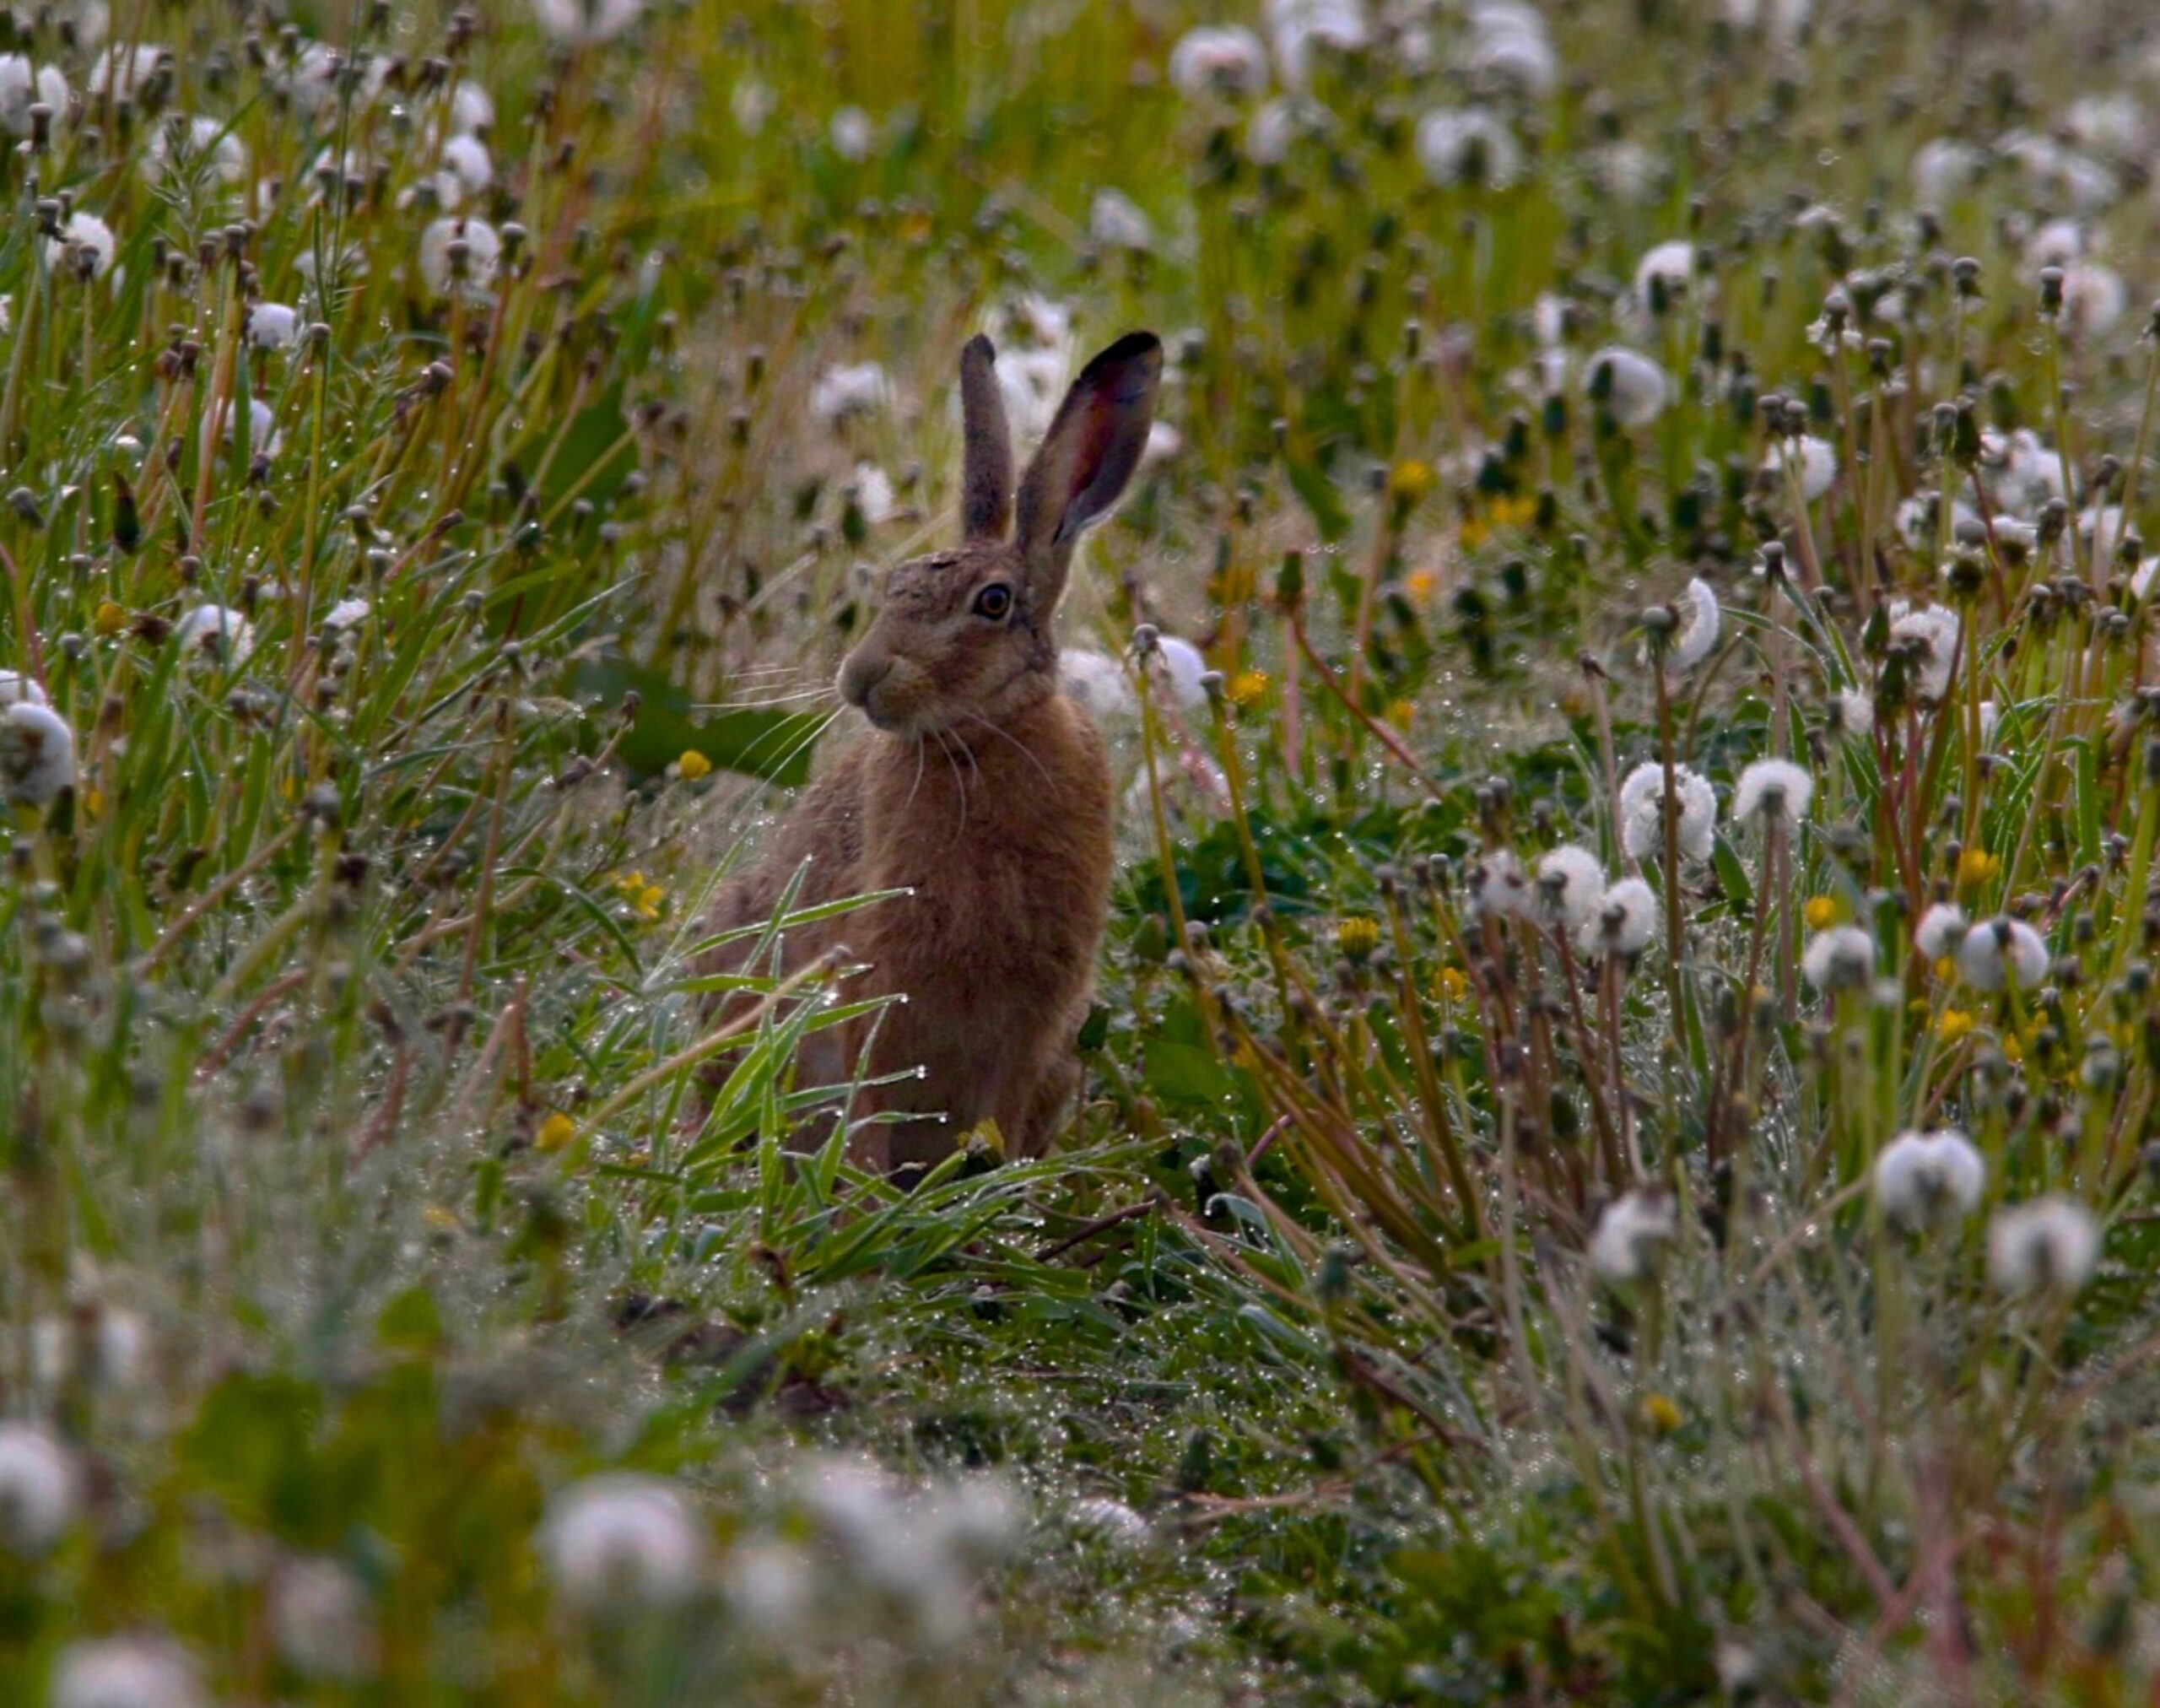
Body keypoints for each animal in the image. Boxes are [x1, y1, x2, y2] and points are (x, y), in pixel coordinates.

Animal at [700, 329, 1163, 1174]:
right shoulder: (873, 985)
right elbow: (866, 1101)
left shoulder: (1035, 1021)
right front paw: (866, 1192)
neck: (979, 740)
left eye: (993, 603)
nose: (861, 677)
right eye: (895, 584)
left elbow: (998, 1119)